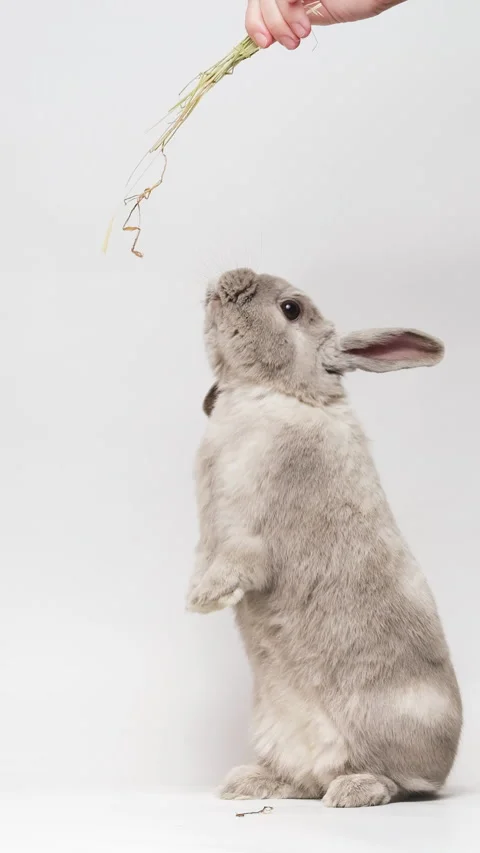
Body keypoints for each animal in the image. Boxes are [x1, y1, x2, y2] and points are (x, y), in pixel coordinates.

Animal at [186, 268, 462, 808]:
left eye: (290, 309)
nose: (230, 278)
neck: (278, 392)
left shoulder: (251, 528)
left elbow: (236, 560)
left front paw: (204, 599)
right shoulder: (209, 534)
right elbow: (203, 557)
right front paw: (194, 595)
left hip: (383, 730)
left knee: (399, 784)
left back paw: (353, 790)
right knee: (305, 780)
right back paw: (249, 782)